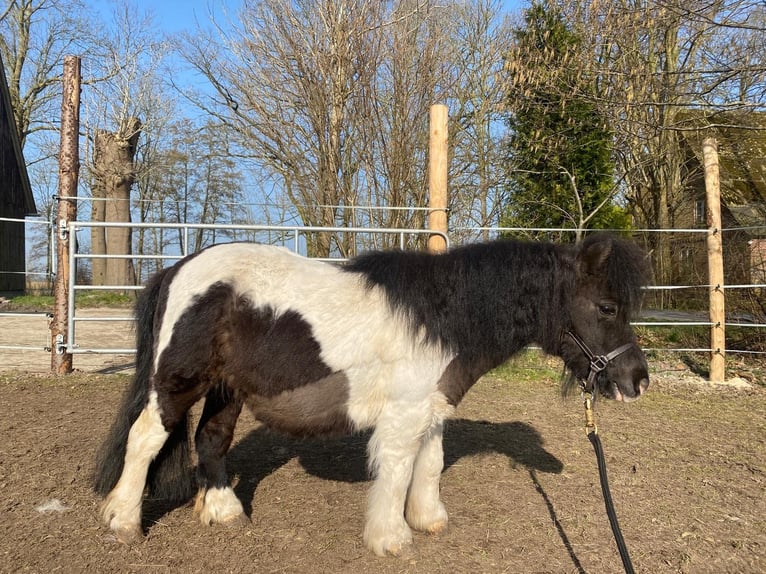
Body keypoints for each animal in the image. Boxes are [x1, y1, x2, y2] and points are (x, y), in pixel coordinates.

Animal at [93, 233, 652, 560]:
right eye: (607, 306)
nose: (637, 380)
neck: (442, 316)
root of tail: (178, 268)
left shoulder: (431, 407)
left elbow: (429, 464)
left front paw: (427, 520)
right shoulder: (404, 413)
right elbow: (399, 470)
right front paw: (391, 538)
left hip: (227, 389)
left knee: (211, 439)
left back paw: (224, 510)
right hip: (179, 381)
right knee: (146, 438)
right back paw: (123, 521)